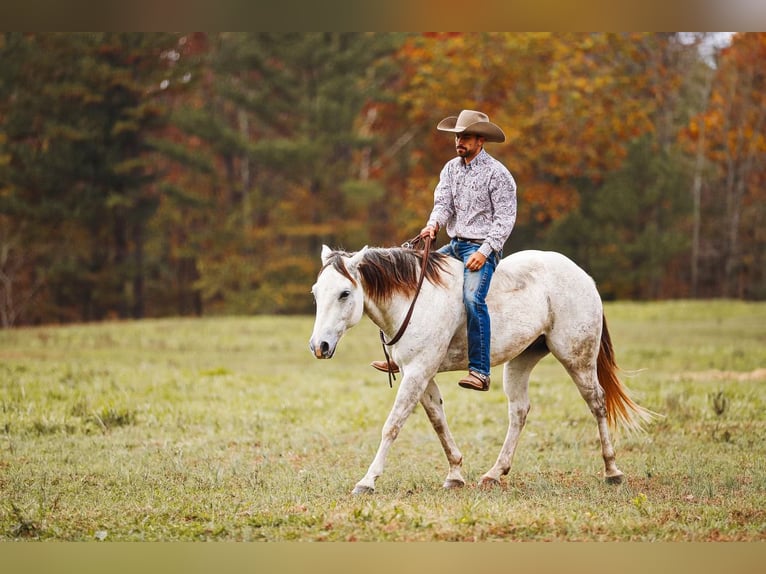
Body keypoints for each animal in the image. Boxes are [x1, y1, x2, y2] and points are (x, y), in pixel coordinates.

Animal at [308, 245, 656, 498]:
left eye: (345, 293)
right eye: (316, 292)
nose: (319, 346)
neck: (412, 300)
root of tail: (583, 276)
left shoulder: (418, 372)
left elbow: (392, 426)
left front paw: (367, 481)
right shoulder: (420, 373)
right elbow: (438, 421)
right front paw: (455, 474)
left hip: (577, 358)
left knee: (597, 402)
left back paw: (612, 470)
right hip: (521, 361)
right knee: (519, 412)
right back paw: (494, 473)